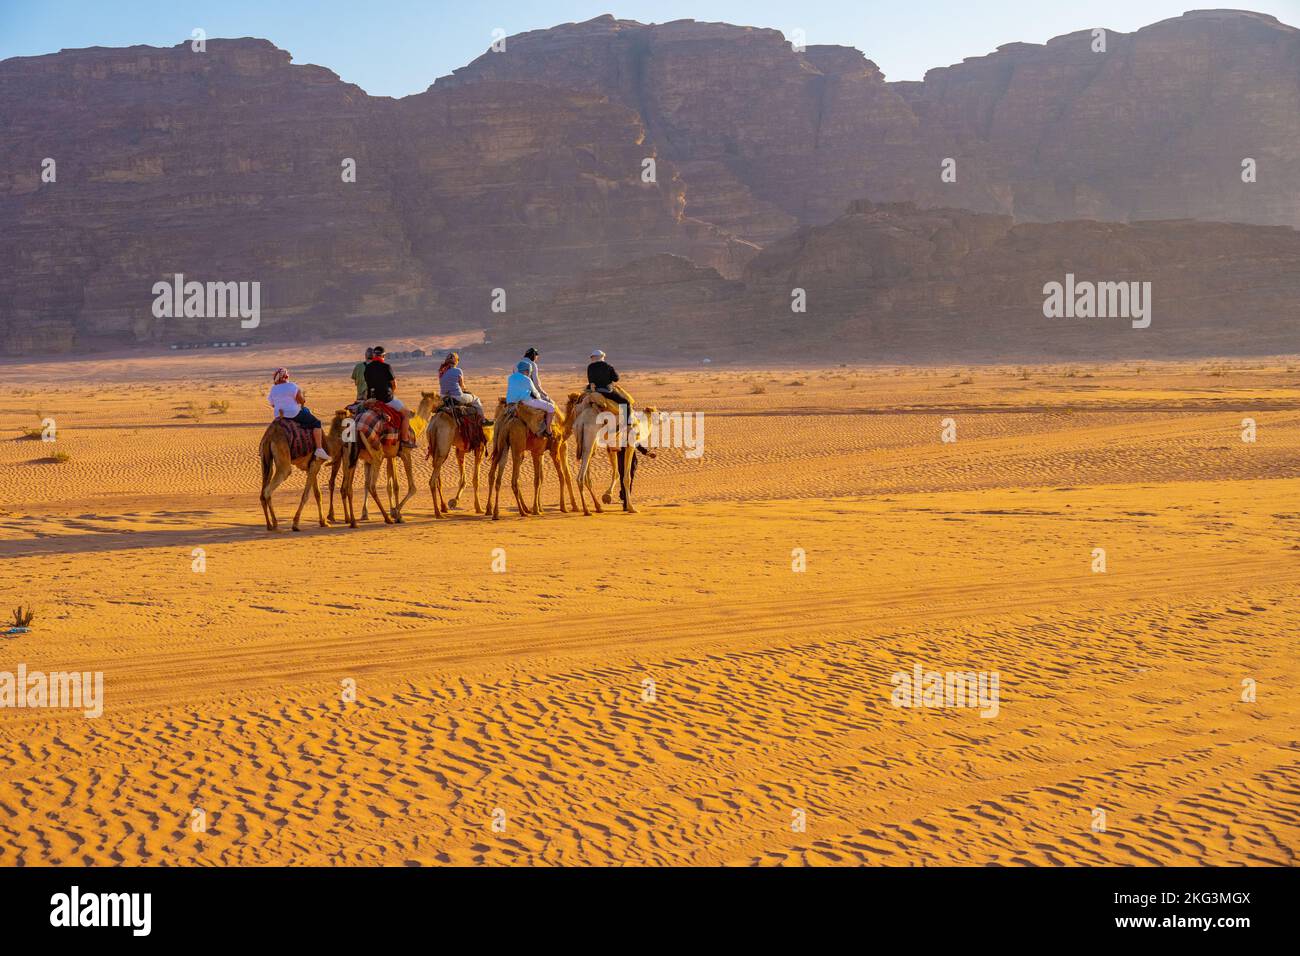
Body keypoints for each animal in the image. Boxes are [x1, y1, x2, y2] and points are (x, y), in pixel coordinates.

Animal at [418, 392, 493, 520]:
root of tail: (434, 425)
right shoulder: (479, 447)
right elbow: (475, 479)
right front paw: (478, 508)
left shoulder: (460, 450)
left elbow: (463, 479)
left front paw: (454, 501)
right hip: (444, 446)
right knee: (432, 480)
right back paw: (437, 513)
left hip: (435, 450)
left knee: (437, 478)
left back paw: (443, 507)